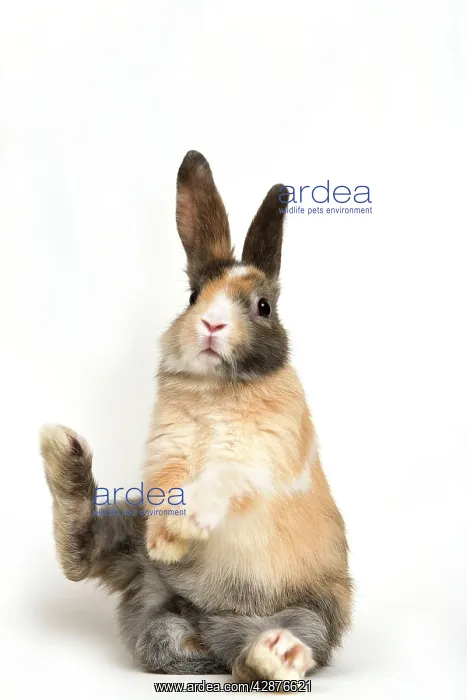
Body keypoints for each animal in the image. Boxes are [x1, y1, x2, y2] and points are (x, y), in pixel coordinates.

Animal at [40, 150, 352, 681]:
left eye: (263, 306)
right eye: (193, 295)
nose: (211, 324)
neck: (218, 389)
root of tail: (204, 624)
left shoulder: (258, 461)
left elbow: (220, 485)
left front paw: (185, 529)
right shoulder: (167, 456)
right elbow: (171, 490)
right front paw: (168, 543)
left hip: (310, 611)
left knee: (261, 659)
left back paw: (276, 651)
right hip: (131, 534)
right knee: (79, 557)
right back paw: (63, 451)